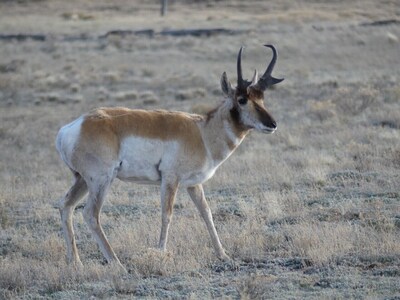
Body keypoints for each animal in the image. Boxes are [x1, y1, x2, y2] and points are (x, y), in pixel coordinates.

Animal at [56, 43, 284, 268]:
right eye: (242, 99)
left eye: (261, 98)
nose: (272, 124)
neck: (202, 132)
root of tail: (72, 127)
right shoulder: (170, 179)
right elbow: (167, 215)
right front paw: (160, 252)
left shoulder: (194, 184)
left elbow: (206, 213)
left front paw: (223, 255)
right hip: (101, 180)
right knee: (90, 213)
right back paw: (117, 263)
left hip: (83, 181)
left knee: (66, 206)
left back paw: (75, 262)